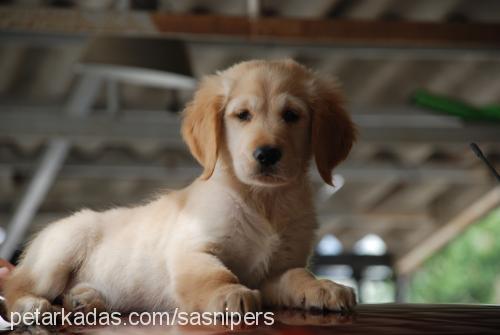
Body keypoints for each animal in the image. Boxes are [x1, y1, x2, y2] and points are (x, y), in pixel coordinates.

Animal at [3, 59, 356, 318]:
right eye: (242, 115)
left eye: (292, 115)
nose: (267, 154)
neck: (263, 200)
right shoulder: (191, 249)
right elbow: (215, 274)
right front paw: (228, 293)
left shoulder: (277, 269)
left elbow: (298, 276)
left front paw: (325, 287)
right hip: (58, 252)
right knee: (14, 288)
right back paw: (32, 305)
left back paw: (84, 298)